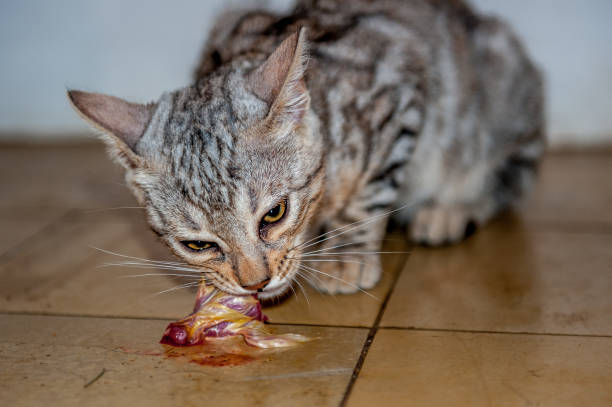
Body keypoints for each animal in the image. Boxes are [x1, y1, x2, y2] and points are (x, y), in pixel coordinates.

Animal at [68, 0, 544, 300]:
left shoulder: (399, 85)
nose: (254, 284)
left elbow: (366, 195)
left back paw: (448, 211)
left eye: (274, 214)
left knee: (506, 178)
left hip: (502, 105)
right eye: (198, 245)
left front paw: (346, 255)